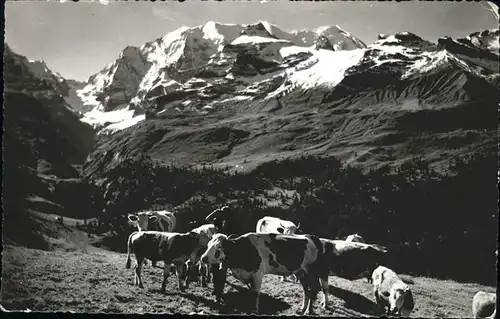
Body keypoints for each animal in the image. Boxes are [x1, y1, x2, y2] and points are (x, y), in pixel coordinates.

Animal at [200, 232, 328, 316]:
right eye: (208, 245)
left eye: (219, 247)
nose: (203, 258)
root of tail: (312, 237)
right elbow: (251, 293)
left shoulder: (257, 274)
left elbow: (255, 294)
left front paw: (255, 311)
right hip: (302, 273)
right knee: (307, 291)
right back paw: (303, 309)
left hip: (312, 272)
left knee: (314, 289)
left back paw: (309, 311)